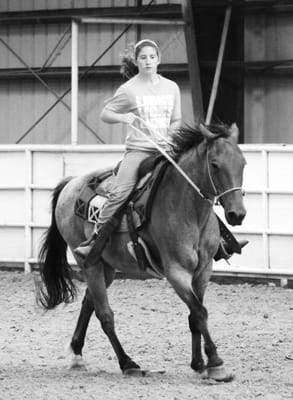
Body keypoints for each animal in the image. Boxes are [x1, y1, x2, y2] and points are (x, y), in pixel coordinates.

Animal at [37, 122, 245, 382]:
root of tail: (71, 183)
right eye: (215, 165)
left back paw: (77, 354)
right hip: (89, 263)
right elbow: (199, 312)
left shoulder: (203, 271)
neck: (187, 208)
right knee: (105, 314)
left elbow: (195, 316)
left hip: (106, 266)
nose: (237, 214)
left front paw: (198, 363)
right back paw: (128, 363)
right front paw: (216, 364)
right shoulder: (176, 272)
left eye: (243, 163)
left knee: (89, 303)